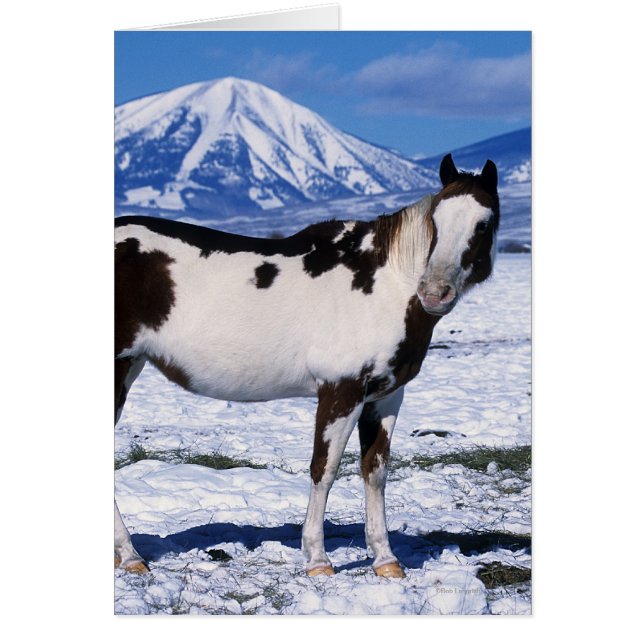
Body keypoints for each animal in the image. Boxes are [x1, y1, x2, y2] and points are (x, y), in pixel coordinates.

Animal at [114, 154, 500, 578]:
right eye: (436, 219)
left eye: (484, 223)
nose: (433, 292)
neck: (384, 284)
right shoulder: (341, 391)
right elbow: (324, 469)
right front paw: (317, 559)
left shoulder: (385, 397)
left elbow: (375, 471)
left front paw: (386, 560)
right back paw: (131, 556)